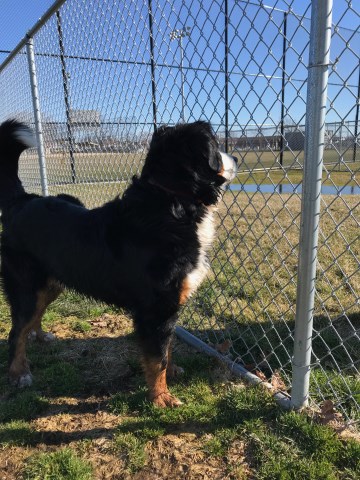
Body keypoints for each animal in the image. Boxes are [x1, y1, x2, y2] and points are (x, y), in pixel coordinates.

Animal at [0, 119, 238, 404]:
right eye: (216, 147)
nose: (236, 157)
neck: (171, 204)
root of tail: (21, 201)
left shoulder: (166, 308)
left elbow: (166, 348)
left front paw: (171, 374)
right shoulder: (155, 308)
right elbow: (157, 357)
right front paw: (162, 397)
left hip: (50, 285)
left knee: (32, 320)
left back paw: (40, 336)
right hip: (25, 287)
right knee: (16, 332)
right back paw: (18, 373)